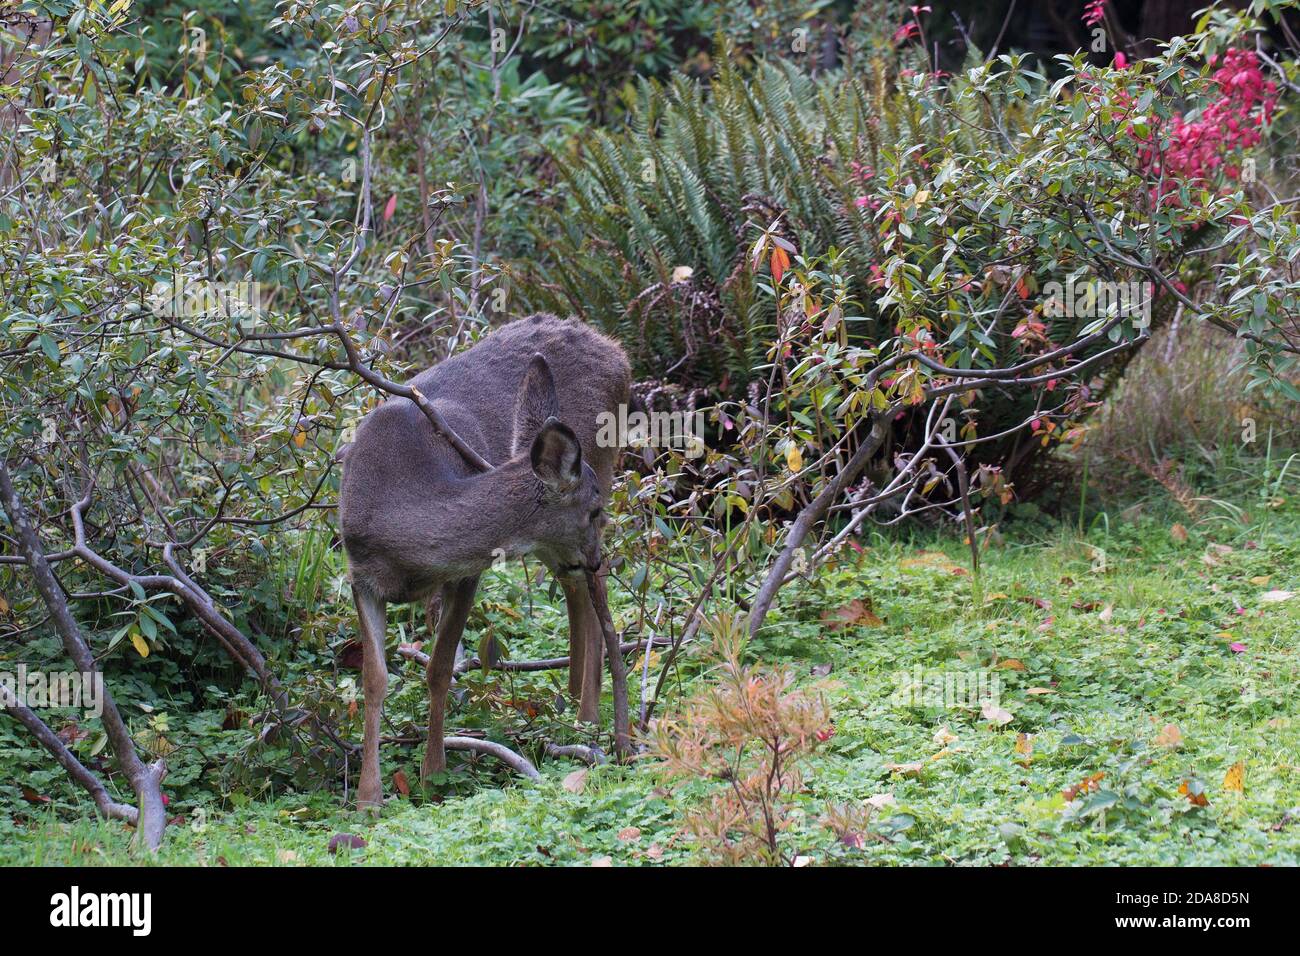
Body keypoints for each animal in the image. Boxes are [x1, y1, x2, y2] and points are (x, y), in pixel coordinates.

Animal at [338, 313, 631, 809]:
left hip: (603, 461)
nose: (594, 556)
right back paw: (574, 703)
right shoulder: (361, 575)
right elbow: (374, 677)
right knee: (577, 592)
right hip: (558, 547)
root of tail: (620, 355)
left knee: (595, 597)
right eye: (592, 510)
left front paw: (433, 774)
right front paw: (367, 797)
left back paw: (589, 719)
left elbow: (439, 669)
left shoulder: (467, 572)